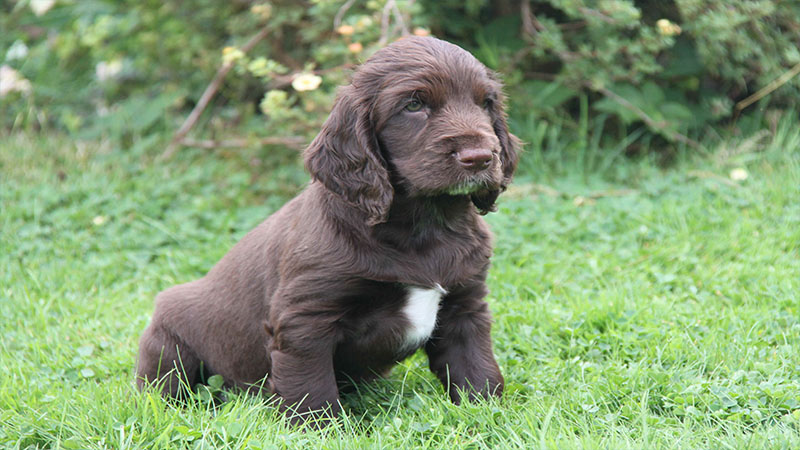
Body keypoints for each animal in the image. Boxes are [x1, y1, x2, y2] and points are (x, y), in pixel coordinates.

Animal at [137, 37, 520, 424]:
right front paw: (318, 427)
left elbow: (475, 367)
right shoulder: (305, 318)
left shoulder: (465, 305)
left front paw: (487, 414)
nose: (480, 157)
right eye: (414, 105)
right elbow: (310, 385)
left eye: (485, 103)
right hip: (167, 342)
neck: (424, 225)